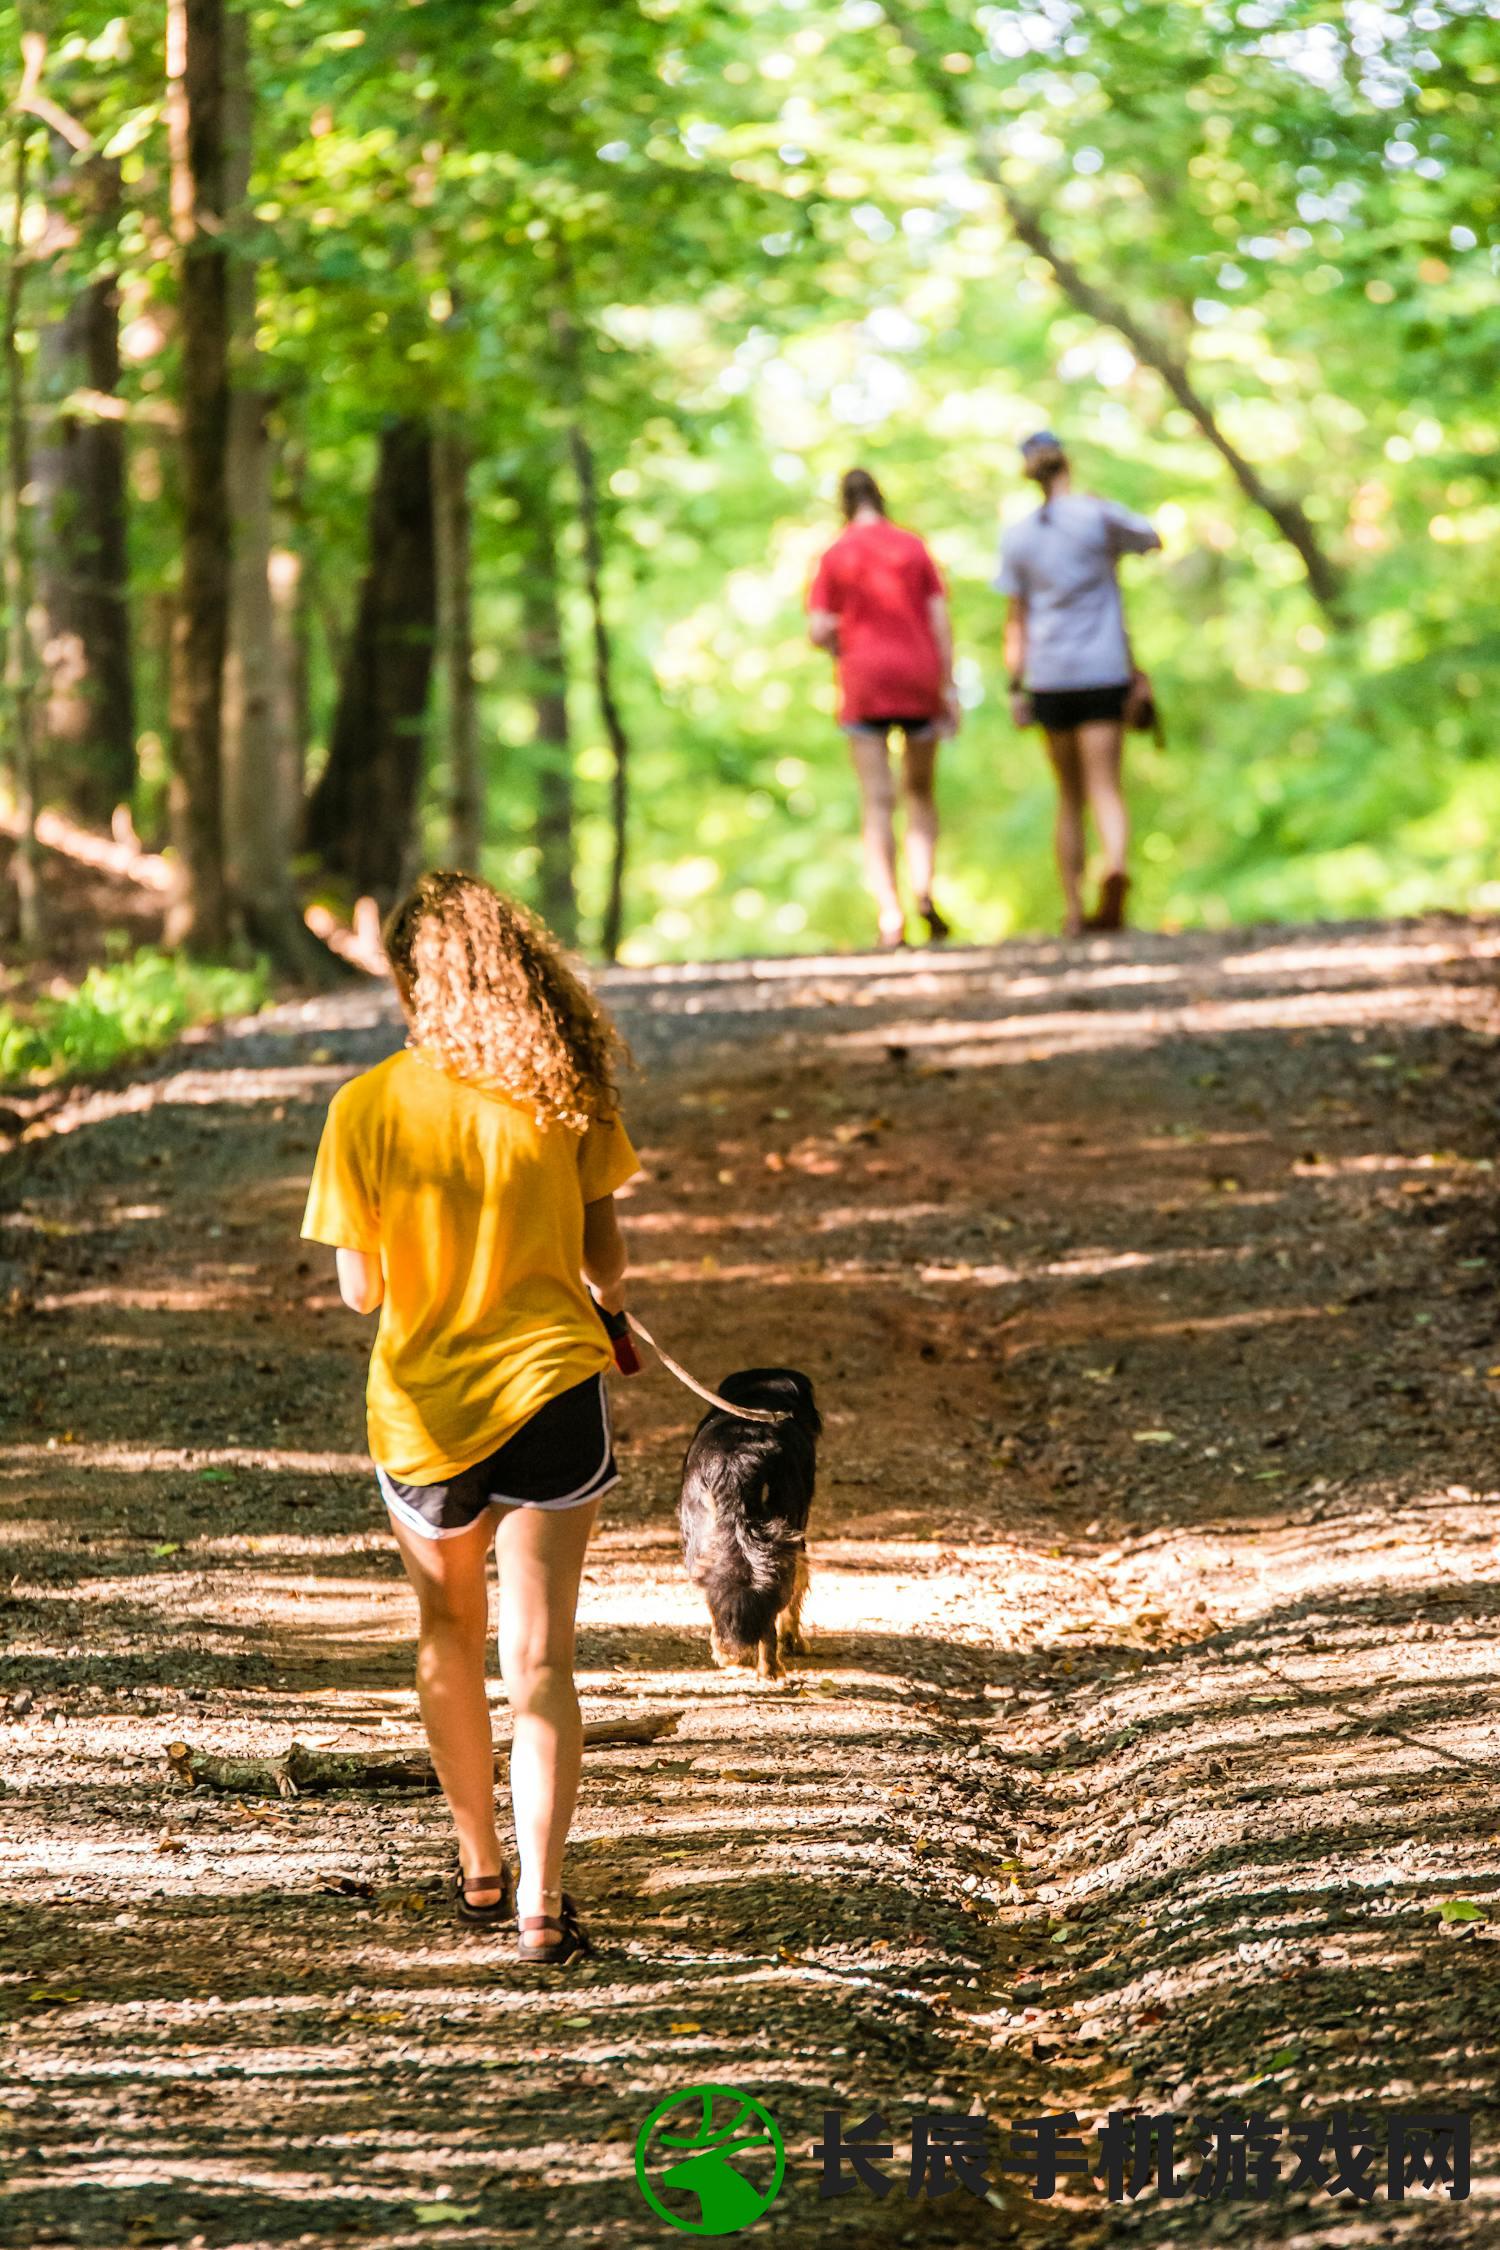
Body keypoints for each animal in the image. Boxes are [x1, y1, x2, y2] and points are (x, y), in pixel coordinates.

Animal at [679, 1359, 823, 1683]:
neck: (760, 1395)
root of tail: (737, 1461)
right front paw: (794, 1641)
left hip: (702, 1540)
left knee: (719, 1593)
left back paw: (727, 1653)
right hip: (781, 1546)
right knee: (769, 1605)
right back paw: (771, 1669)